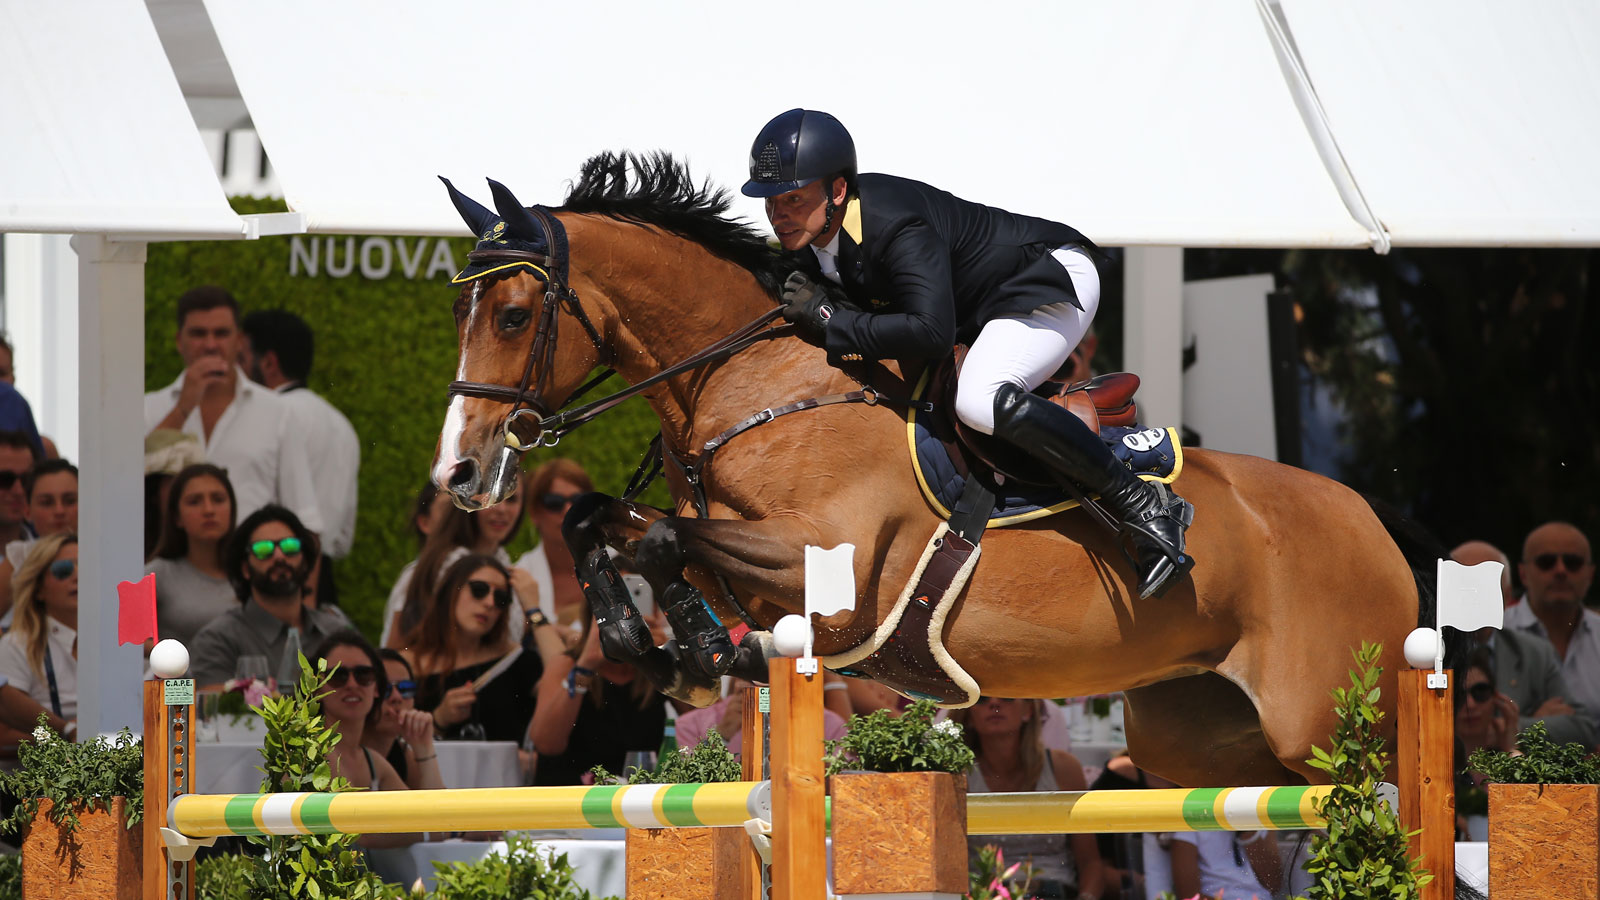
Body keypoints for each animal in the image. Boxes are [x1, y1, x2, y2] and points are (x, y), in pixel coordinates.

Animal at [432, 152, 1433, 784]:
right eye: (461, 313)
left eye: (514, 315)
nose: (461, 474)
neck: (753, 382)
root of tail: (1374, 526)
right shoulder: (732, 545)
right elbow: (602, 522)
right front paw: (650, 643)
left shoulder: (825, 565)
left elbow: (663, 541)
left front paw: (698, 651)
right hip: (1201, 737)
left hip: (1333, 724)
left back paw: (1158, 528)